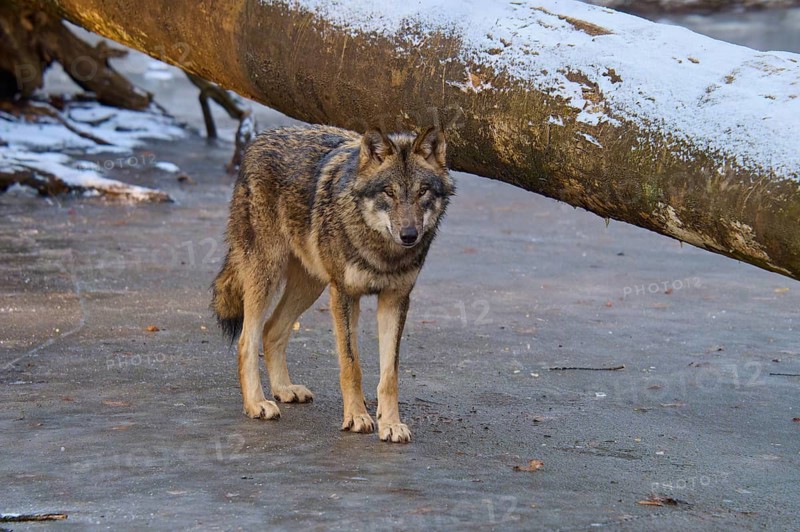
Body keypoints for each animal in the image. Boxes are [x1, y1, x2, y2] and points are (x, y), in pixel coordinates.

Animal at [212, 124, 454, 443]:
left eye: (422, 191)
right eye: (389, 192)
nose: (409, 235)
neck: (382, 252)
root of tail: (260, 138)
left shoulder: (396, 299)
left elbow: (390, 374)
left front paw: (390, 424)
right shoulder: (344, 295)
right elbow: (351, 366)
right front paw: (357, 417)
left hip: (310, 285)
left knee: (271, 330)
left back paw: (284, 390)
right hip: (267, 274)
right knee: (246, 340)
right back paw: (257, 404)